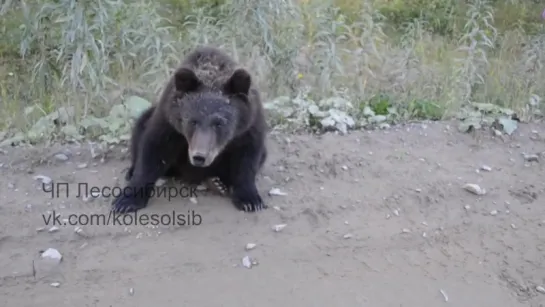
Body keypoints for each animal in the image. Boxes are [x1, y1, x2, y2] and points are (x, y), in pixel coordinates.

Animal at [113, 46, 266, 214]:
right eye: (192, 121)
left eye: (219, 123)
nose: (199, 157)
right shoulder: (169, 121)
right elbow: (153, 149)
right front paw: (126, 200)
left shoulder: (248, 127)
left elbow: (247, 159)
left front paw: (249, 200)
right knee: (140, 128)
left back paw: (217, 182)